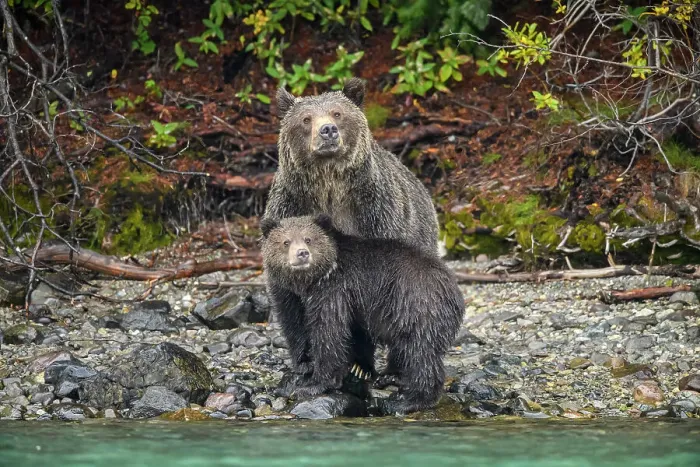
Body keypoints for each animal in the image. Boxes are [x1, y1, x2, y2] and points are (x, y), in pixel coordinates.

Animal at [259, 214, 465, 414]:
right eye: (286, 241)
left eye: (308, 239)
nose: (302, 253)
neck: (312, 281)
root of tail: (454, 290)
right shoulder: (295, 298)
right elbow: (296, 324)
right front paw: (305, 364)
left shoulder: (334, 291)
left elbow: (329, 331)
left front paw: (314, 384)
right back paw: (391, 377)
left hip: (416, 304)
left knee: (420, 352)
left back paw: (411, 401)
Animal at [263, 77, 440, 381]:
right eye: (306, 118)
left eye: (337, 113)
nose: (328, 130)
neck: (329, 188)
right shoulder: (289, 208)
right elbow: (289, 301)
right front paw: (304, 360)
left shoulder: (374, 216)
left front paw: (360, 364)